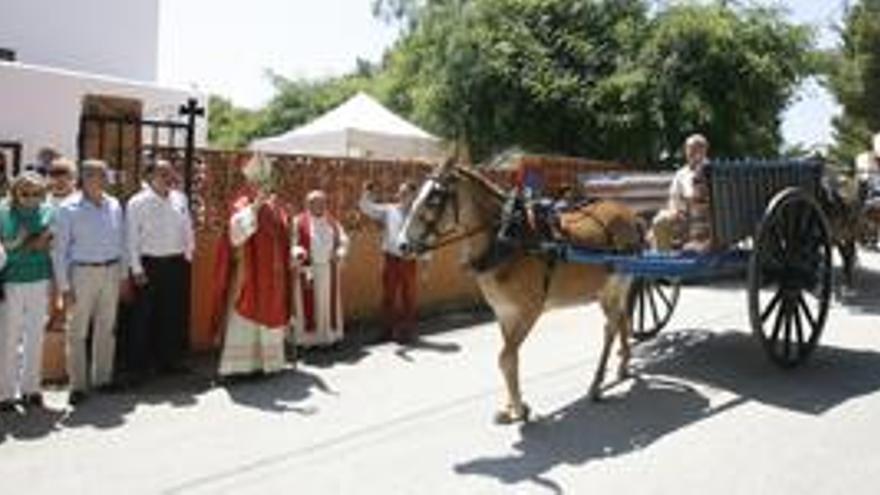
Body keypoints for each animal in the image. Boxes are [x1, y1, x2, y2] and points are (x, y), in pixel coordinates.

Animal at [398, 161, 640, 424]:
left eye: (435, 197)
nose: (402, 245)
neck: (506, 240)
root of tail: (628, 213)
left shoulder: (528, 311)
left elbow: (505, 358)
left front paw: (519, 408)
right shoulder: (504, 312)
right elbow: (510, 357)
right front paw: (511, 408)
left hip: (617, 283)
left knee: (611, 327)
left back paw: (597, 384)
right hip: (606, 291)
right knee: (622, 318)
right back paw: (624, 363)